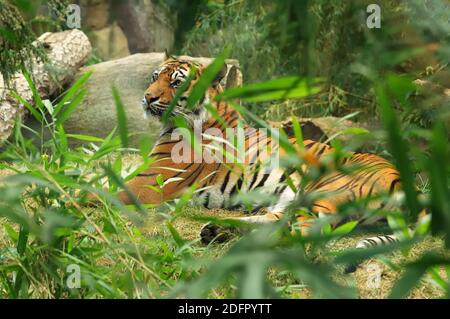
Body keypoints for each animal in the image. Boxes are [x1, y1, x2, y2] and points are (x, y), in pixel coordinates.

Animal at [108, 53, 426, 270]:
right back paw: (217, 231)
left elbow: (103, 192)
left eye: (176, 83)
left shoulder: (149, 183)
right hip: (294, 199)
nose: (147, 98)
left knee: (299, 234)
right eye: (154, 77)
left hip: (321, 193)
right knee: (275, 223)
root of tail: (403, 180)